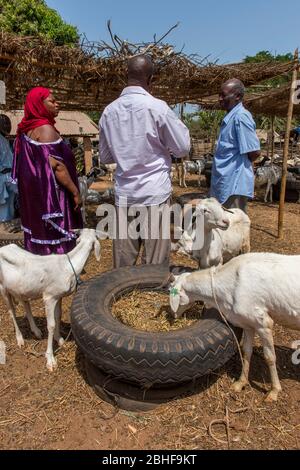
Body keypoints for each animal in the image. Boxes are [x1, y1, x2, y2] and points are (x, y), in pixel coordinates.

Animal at [0, 228, 101, 370]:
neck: (67, 265)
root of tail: (3, 247)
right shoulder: (49, 297)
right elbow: (51, 325)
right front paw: (50, 359)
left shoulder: (58, 296)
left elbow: (58, 316)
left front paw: (60, 340)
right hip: (3, 288)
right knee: (11, 312)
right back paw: (20, 339)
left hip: (22, 288)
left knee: (25, 304)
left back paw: (36, 331)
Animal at [169, 252, 300, 402]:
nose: (172, 314)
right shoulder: (248, 323)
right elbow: (246, 351)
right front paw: (240, 383)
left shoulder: (263, 323)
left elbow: (270, 357)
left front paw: (274, 392)